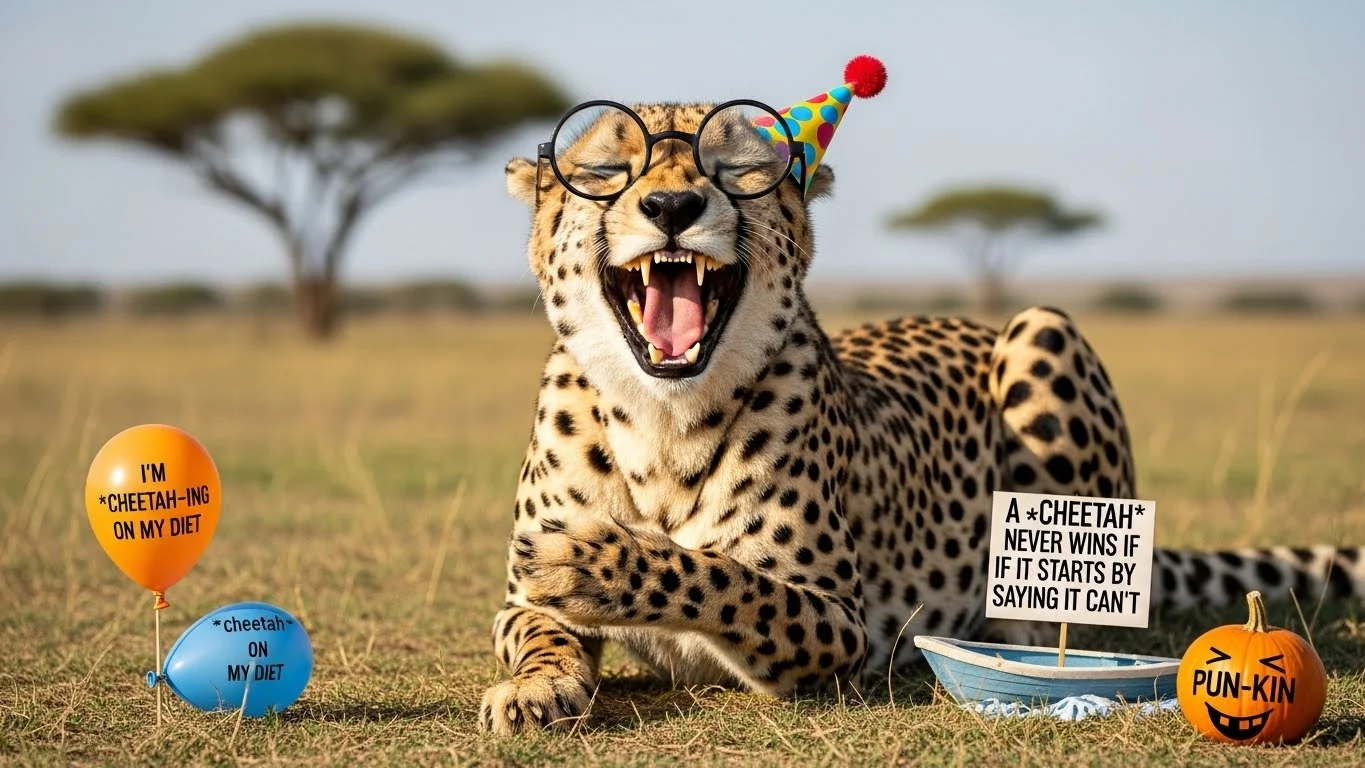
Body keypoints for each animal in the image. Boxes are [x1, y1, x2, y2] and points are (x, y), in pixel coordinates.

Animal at [478, 101, 1364, 734]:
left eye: (736, 170)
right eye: (606, 168)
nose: (671, 203)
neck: (662, 417)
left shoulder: (840, 621)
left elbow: (726, 578)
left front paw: (603, 561)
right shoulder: (518, 599)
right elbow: (540, 632)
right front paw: (536, 688)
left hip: (1041, 330)